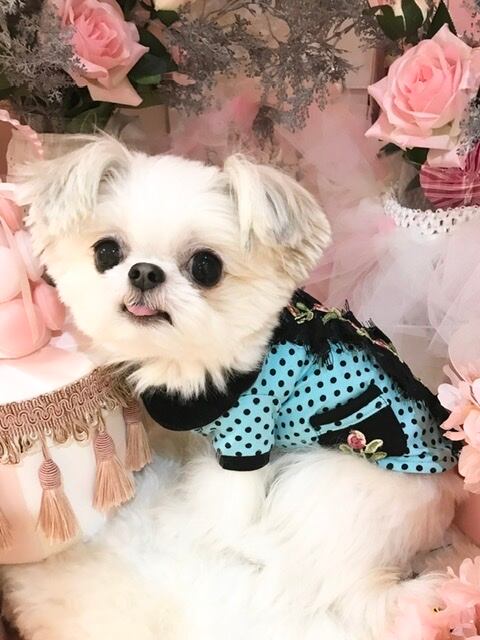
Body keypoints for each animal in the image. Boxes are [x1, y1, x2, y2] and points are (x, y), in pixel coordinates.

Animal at [14, 136, 464, 639]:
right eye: (106, 252)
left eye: (206, 266)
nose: (144, 271)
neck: (193, 359)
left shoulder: (246, 437)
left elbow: (225, 505)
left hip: (321, 477)